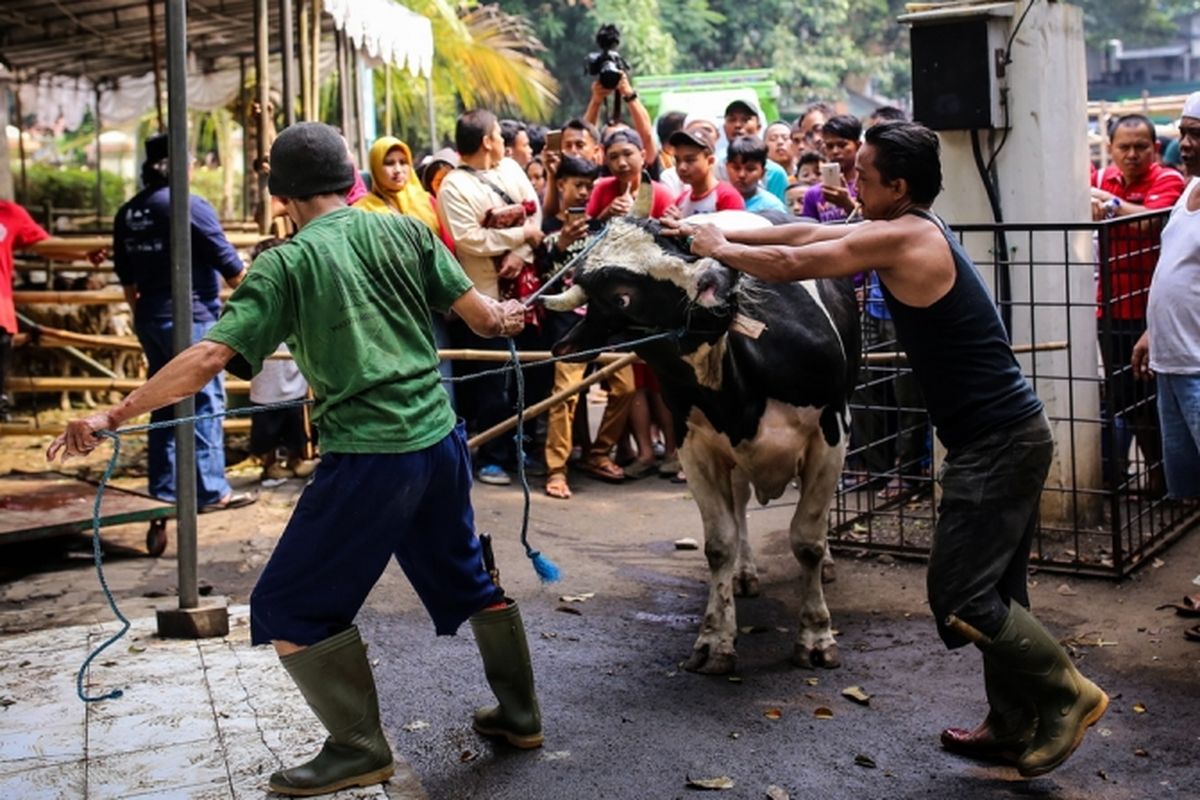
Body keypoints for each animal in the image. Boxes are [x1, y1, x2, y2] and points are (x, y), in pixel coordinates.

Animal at [549, 214, 859, 676]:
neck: (737, 387)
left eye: (677, 244)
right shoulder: (693, 448)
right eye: (621, 298)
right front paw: (715, 639)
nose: (718, 276)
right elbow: (719, 544)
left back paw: (825, 567)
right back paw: (744, 573)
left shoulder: (830, 436)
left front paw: (816, 637)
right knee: (741, 504)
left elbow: (808, 540)